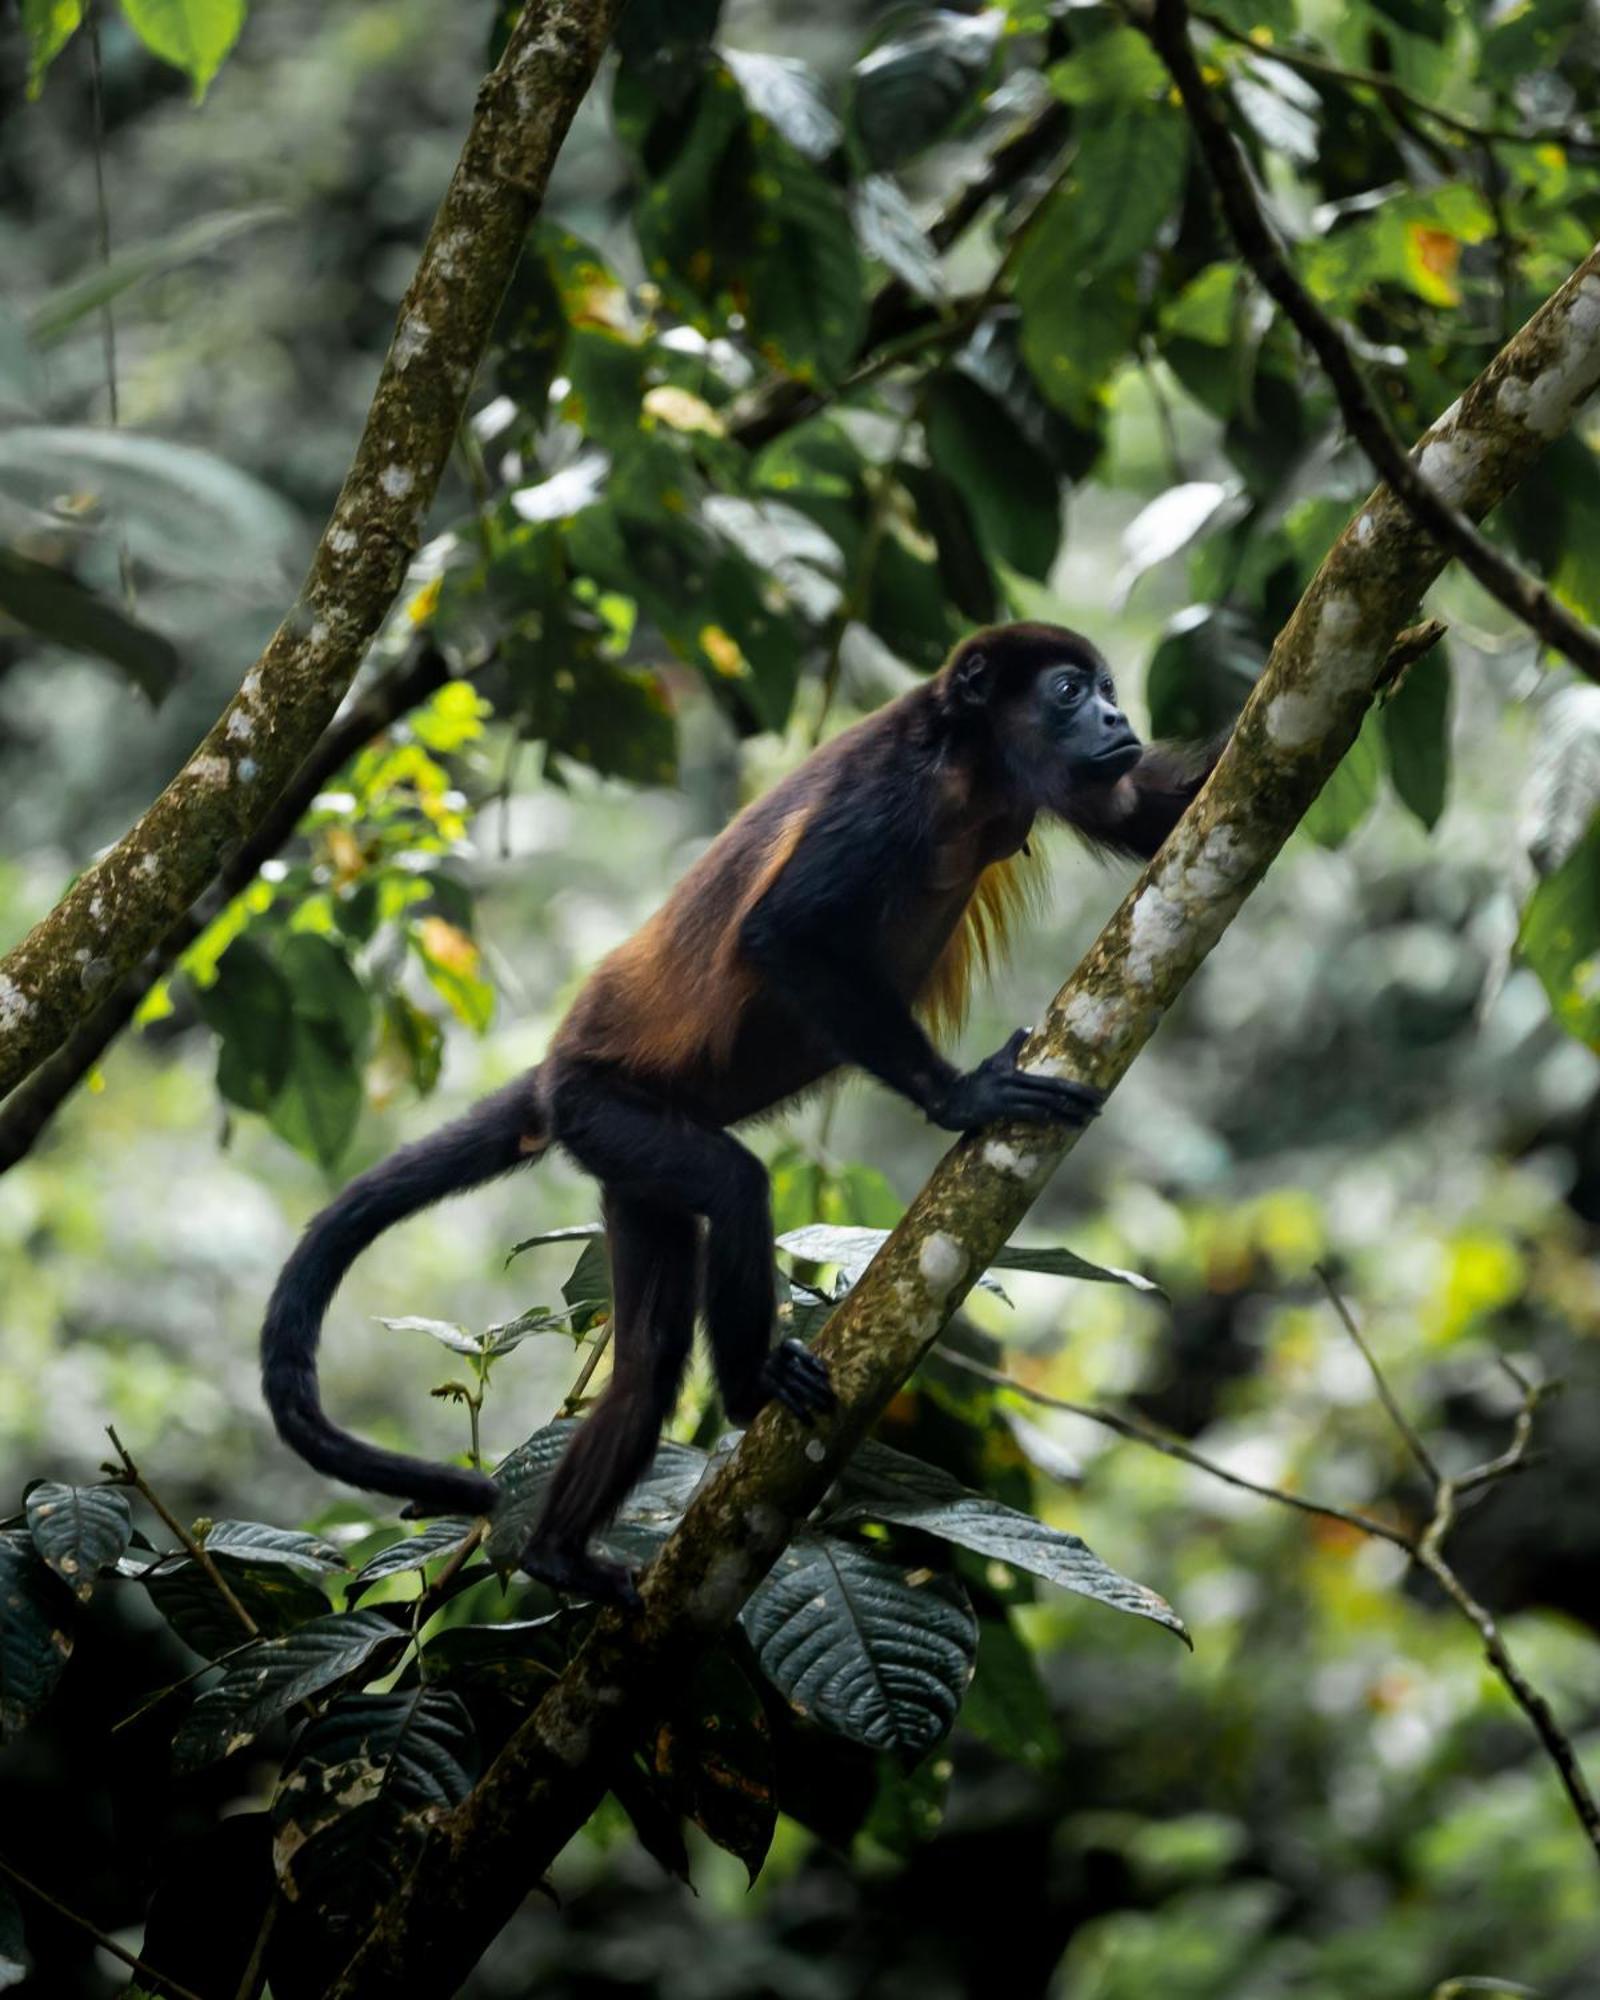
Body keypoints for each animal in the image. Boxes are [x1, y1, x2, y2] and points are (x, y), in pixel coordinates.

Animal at [256, 616, 1216, 1600]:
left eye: (1106, 688)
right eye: (1068, 690)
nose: (1117, 715)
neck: (974, 762)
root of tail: (554, 1072)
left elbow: (1170, 815)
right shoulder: (889, 792)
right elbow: (783, 930)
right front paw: (963, 1097)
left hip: (626, 1169)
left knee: (646, 1361)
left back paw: (559, 1553)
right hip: (608, 1110)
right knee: (731, 1184)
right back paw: (749, 1390)